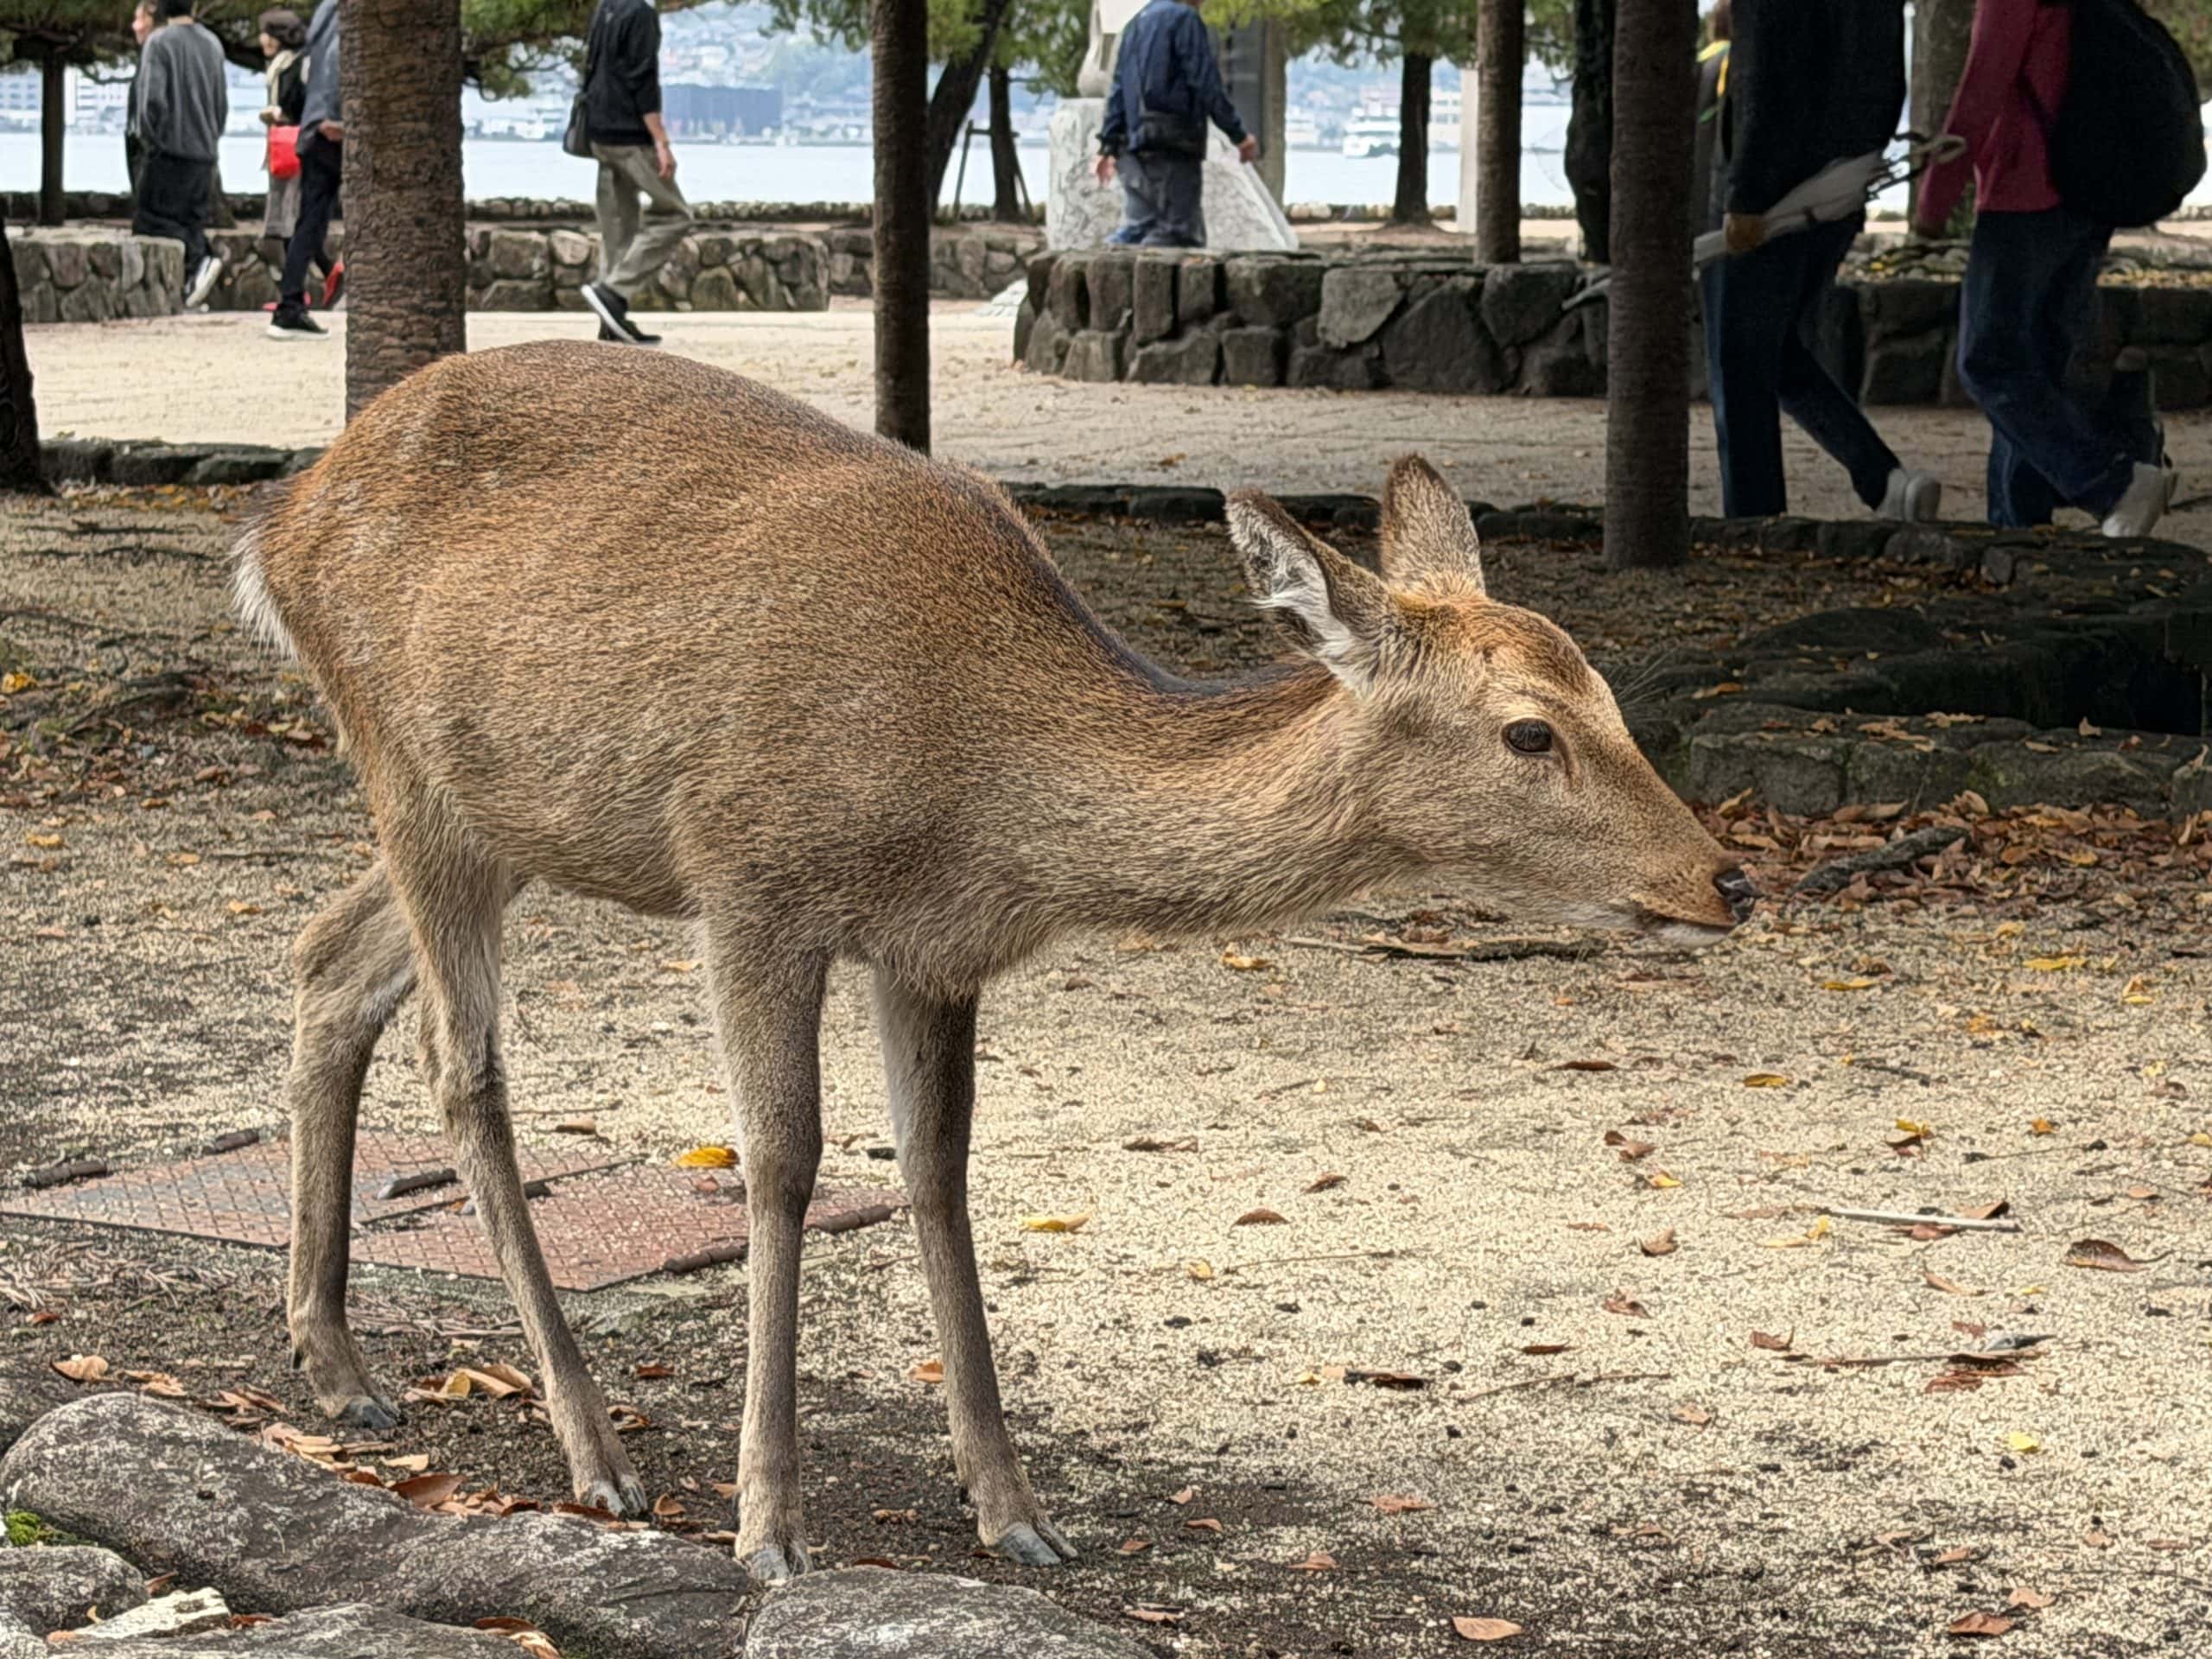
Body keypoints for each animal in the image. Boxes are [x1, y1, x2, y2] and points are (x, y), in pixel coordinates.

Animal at [233, 340, 1754, 1585]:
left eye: (1610, 694)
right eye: (1528, 731)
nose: (1727, 878)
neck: (974, 785)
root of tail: (276, 526)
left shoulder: (935, 947)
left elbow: (941, 1167)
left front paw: (1014, 1511)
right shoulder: (748, 876)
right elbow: (781, 1165)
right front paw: (770, 1526)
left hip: (511, 815)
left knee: (325, 956)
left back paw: (337, 1364)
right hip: (408, 762)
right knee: (462, 1063)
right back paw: (594, 1450)